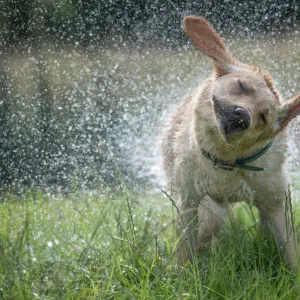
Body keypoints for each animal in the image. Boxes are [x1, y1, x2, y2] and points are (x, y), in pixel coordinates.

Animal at [162, 17, 300, 274]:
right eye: (241, 86)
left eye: (263, 117)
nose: (242, 116)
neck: (227, 160)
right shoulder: (188, 200)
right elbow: (187, 245)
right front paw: (182, 274)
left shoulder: (276, 202)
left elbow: (291, 249)